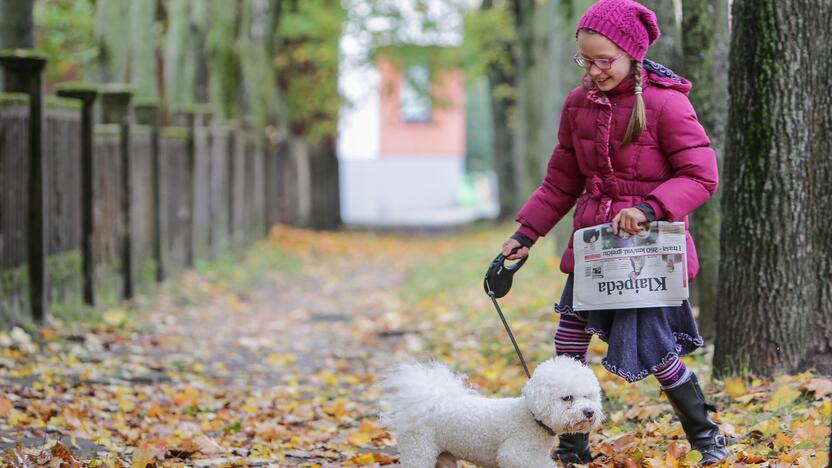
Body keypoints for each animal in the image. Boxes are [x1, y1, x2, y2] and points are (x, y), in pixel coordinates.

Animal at [380, 354, 600, 468]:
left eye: (588, 396)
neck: (532, 418)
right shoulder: (514, 456)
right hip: (419, 451)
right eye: (567, 397)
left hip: (444, 456)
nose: (589, 412)